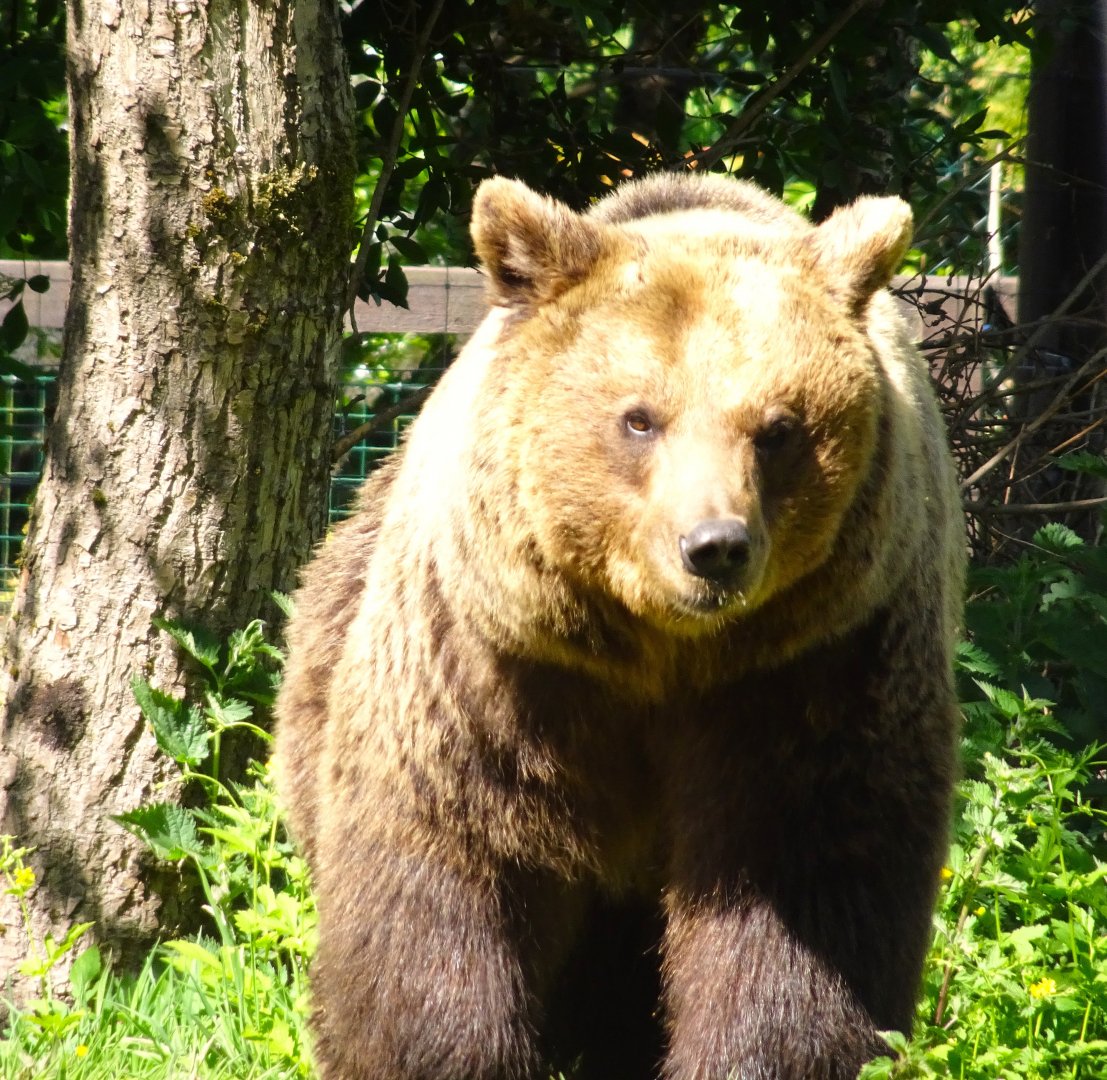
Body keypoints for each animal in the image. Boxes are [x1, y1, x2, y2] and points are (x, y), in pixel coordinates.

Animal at [273, 171, 965, 1080]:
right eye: (640, 417)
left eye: (779, 428)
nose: (713, 546)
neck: (657, 654)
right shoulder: (493, 670)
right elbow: (446, 870)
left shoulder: (816, 667)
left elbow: (800, 896)